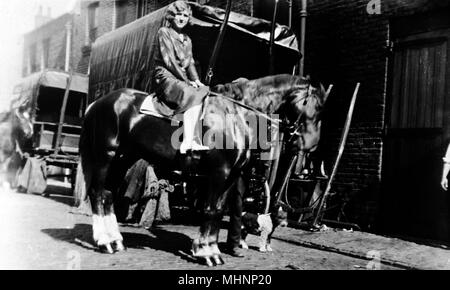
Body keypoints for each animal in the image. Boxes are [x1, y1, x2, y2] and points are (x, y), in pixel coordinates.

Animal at [75, 74, 326, 266]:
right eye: (316, 106)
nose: (312, 146)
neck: (234, 115)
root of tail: (99, 102)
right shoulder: (219, 173)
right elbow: (210, 210)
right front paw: (208, 254)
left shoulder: (231, 176)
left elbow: (218, 211)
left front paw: (209, 249)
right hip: (106, 156)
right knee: (97, 193)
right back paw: (105, 242)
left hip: (123, 159)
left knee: (108, 195)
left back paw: (116, 240)